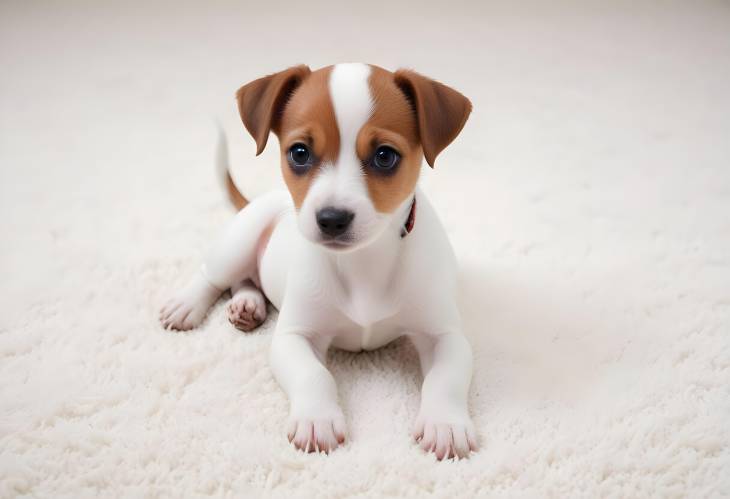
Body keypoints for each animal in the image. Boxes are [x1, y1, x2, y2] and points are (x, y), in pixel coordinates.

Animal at [159, 63, 474, 460]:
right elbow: (315, 375)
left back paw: (247, 305)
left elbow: (444, 379)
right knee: (214, 276)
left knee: (247, 280)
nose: (332, 219)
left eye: (385, 156)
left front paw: (445, 424)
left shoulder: (444, 336)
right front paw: (317, 419)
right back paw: (187, 304)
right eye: (299, 152)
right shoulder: (294, 337)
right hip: (240, 240)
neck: (362, 263)